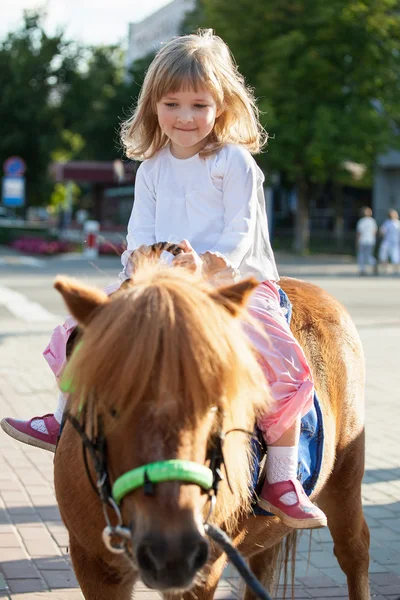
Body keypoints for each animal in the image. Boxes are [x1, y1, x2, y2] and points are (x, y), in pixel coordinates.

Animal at [54, 256, 372, 600]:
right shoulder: (95, 568)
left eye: (216, 404)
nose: (171, 550)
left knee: (355, 549)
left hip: (346, 475)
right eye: (109, 403)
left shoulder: (203, 571)